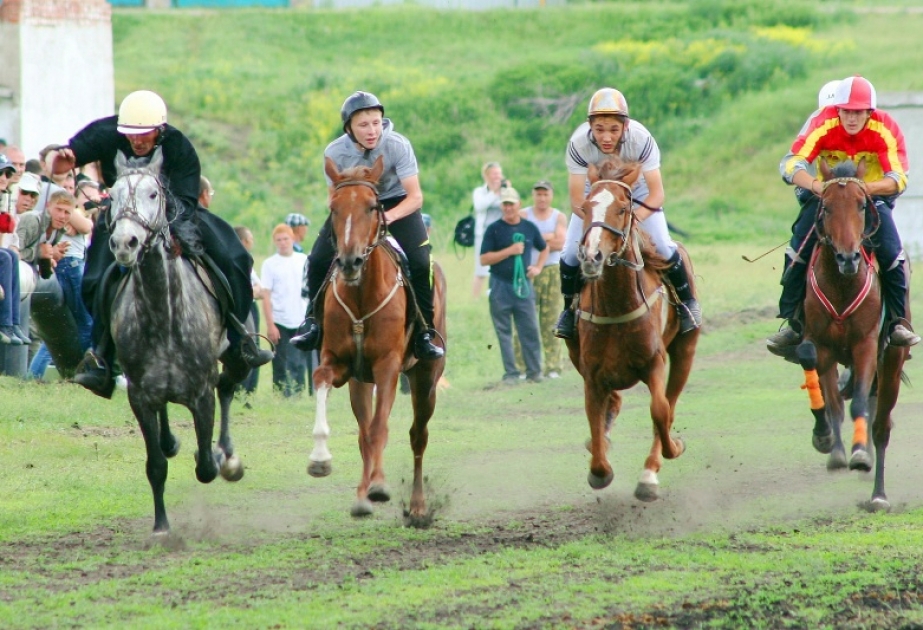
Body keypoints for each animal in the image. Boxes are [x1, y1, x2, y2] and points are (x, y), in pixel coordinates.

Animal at [107, 149, 249, 540]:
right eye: (111, 196)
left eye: (153, 194)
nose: (124, 243)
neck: (162, 313)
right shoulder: (139, 396)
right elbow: (156, 465)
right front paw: (161, 526)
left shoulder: (202, 393)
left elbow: (205, 467)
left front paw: (218, 458)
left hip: (236, 356)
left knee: (228, 386)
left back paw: (227, 454)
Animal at [306, 158, 448, 528]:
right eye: (334, 208)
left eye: (373, 206)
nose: (349, 261)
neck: (360, 296)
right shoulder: (337, 363)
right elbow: (324, 384)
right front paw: (320, 458)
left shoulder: (388, 366)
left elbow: (380, 428)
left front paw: (381, 486)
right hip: (360, 381)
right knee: (362, 434)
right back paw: (361, 496)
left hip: (425, 379)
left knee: (417, 436)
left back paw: (417, 507)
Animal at [564, 158, 700, 504]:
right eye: (586, 206)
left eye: (623, 208)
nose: (592, 256)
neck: (616, 304)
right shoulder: (591, 372)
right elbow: (595, 420)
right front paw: (600, 467)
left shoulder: (654, 363)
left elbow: (660, 411)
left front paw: (662, 460)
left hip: (685, 351)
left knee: (670, 404)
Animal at [796, 159, 908, 512]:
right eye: (827, 207)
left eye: (861, 205)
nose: (848, 258)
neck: (843, 284)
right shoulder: (821, 345)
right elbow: (830, 402)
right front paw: (828, 442)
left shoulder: (867, 345)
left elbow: (858, 403)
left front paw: (859, 453)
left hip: (891, 364)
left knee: (881, 425)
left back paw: (878, 494)